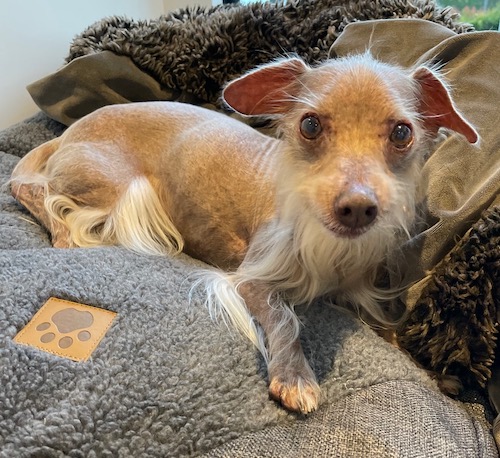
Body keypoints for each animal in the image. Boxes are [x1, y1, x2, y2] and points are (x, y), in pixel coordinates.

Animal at [8, 54, 476, 416]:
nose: (357, 207)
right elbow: (284, 317)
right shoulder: (252, 278)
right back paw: (63, 232)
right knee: (33, 190)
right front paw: (295, 376)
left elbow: (391, 333)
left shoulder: (360, 291)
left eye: (402, 133)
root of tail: (67, 132)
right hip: (117, 188)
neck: (333, 251)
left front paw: (435, 372)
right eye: (309, 126)